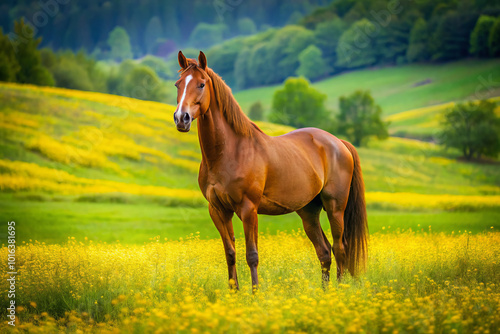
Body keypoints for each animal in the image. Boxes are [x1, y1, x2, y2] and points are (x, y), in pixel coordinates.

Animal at [175, 50, 368, 290]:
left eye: (201, 84)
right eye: (178, 84)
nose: (181, 118)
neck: (229, 152)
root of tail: (338, 143)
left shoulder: (248, 209)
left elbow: (252, 255)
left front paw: (255, 293)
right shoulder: (218, 210)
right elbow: (230, 253)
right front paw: (233, 293)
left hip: (335, 207)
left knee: (340, 248)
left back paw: (338, 292)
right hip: (308, 211)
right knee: (324, 252)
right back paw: (325, 292)